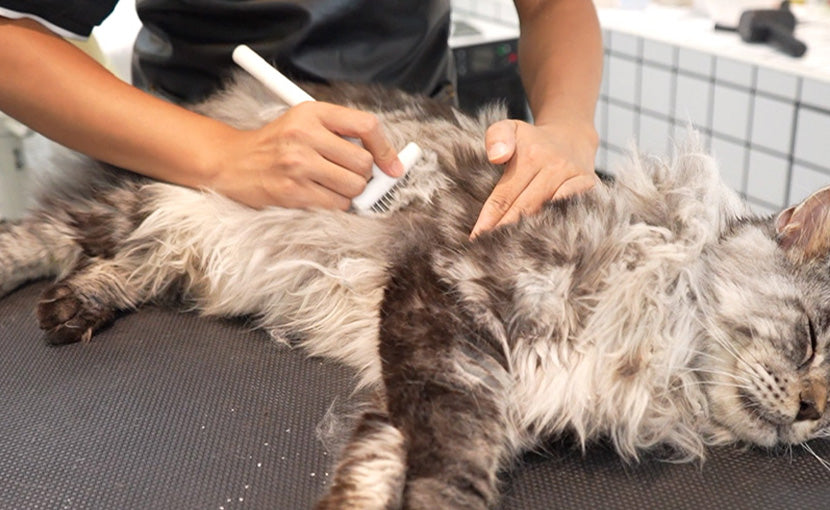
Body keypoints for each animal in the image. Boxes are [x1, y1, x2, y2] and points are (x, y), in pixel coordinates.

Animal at [1, 72, 830, 510]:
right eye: (813, 338)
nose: (812, 412)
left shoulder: (461, 384)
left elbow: (374, 468)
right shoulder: (453, 304)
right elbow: (446, 464)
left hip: (192, 246)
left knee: (141, 262)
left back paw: (78, 305)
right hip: (154, 200)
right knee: (48, 232)